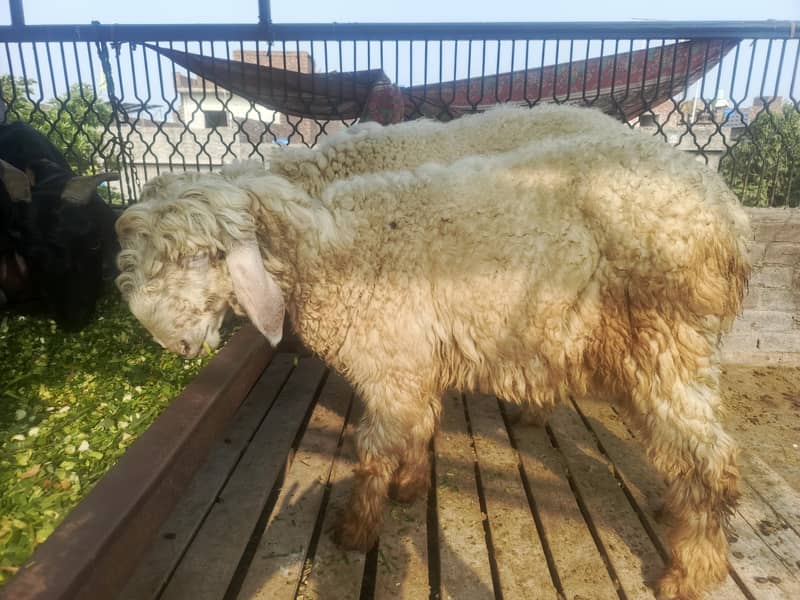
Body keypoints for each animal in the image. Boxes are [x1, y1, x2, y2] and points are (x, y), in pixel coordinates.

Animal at [116, 108, 750, 600]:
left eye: (196, 257)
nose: (168, 342)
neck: (336, 252)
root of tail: (728, 215)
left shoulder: (390, 365)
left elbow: (373, 450)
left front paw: (355, 528)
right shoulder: (414, 361)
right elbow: (420, 427)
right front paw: (410, 486)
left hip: (666, 340)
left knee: (708, 455)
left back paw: (690, 572)